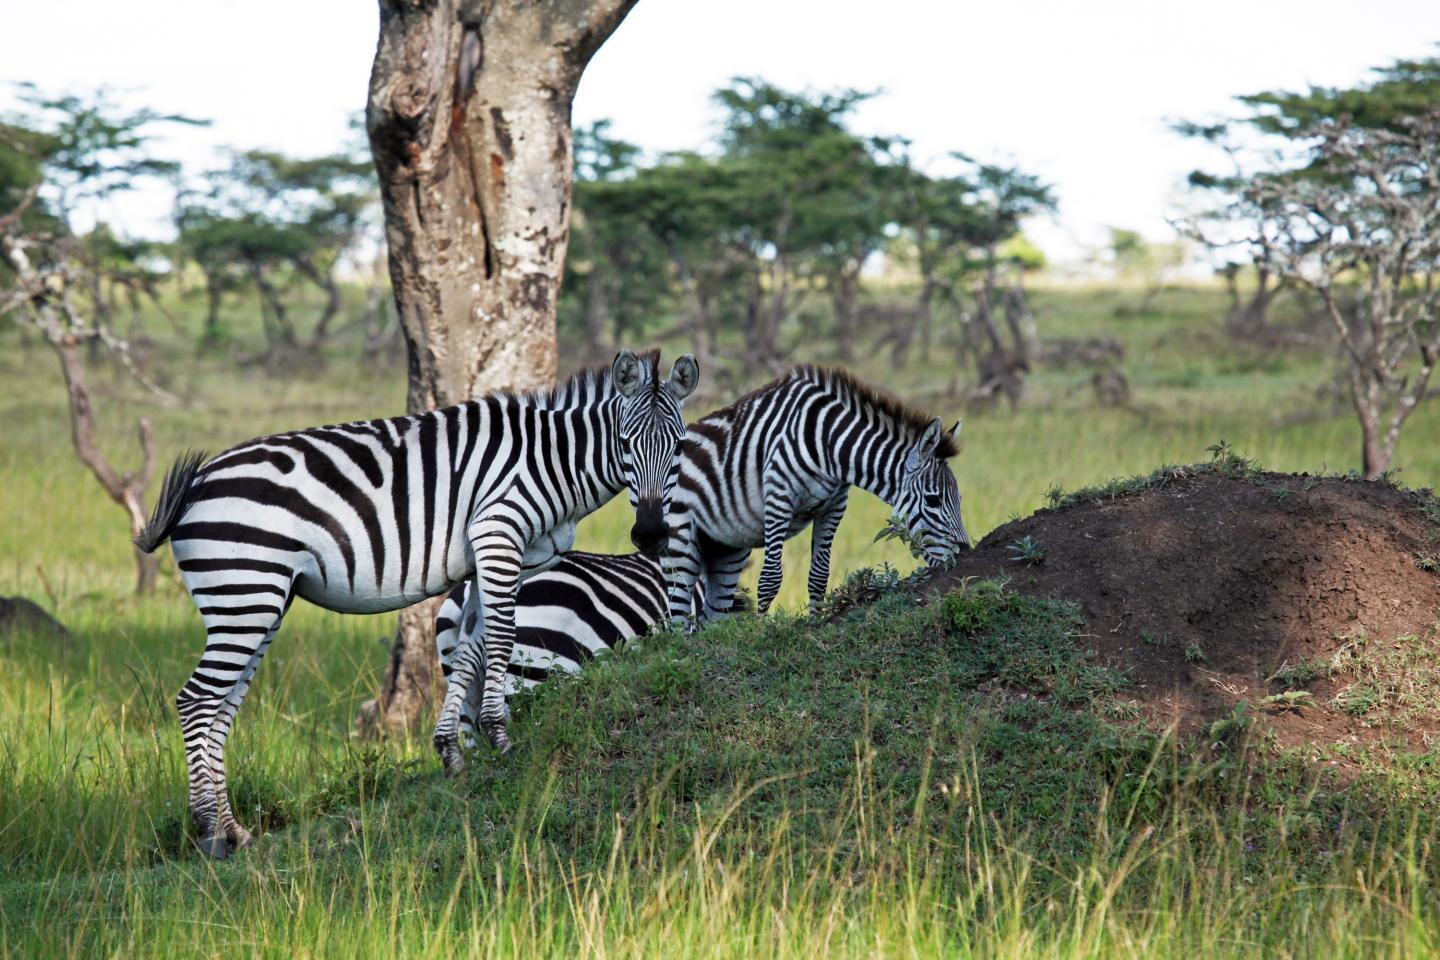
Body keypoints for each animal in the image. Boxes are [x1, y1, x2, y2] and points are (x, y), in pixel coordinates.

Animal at [133, 349, 696, 857]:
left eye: (678, 446)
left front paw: (453, 753)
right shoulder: (498, 534)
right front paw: (500, 739)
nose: (650, 535)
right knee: (196, 700)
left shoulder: (490, 560)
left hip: (259, 600)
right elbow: (502, 640)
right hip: (242, 593)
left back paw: (235, 832)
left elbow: (471, 650)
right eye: (625, 443)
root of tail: (198, 484)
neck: (551, 462)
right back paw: (209, 833)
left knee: (222, 706)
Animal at [665, 364, 967, 627]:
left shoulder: (834, 506)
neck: (831, 446)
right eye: (933, 500)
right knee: (677, 611)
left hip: (725, 548)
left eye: (960, 500)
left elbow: (819, 575)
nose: (965, 553)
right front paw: (760, 631)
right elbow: (770, 578)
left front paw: (814, 624)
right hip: (681, 541)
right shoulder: (779, 498)